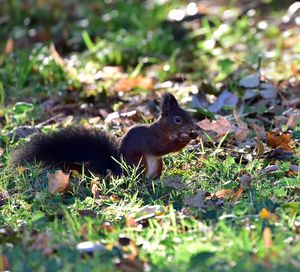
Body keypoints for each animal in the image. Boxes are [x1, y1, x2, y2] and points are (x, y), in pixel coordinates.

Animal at [13, 92, 197, 180]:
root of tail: (119, 171)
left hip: (157, 165)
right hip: (139, 162)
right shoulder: (153, 138)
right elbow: (161, 148)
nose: (193, 127)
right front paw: (184, 139)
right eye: (178, 119)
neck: (164, 129)